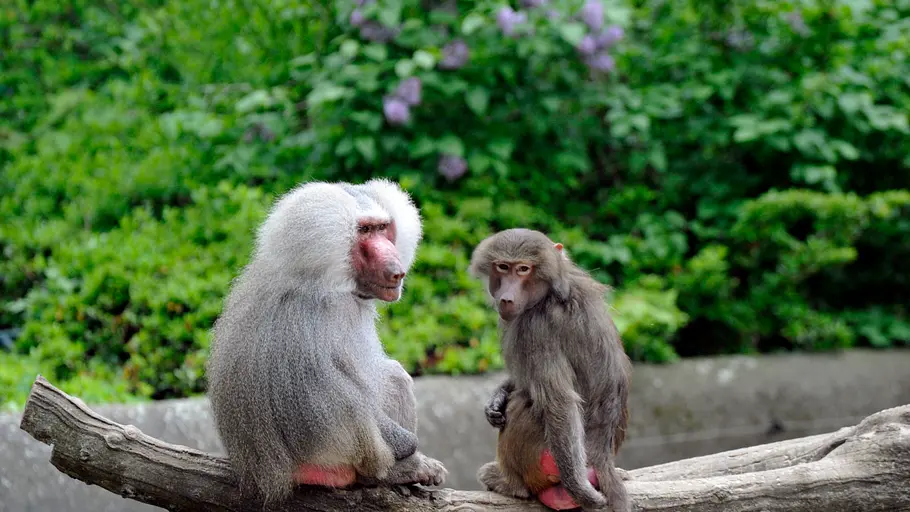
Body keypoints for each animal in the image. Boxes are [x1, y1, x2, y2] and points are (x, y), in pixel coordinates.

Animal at [205, 178, 447, 506]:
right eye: (364, 231)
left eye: (383, 227)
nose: (397, 271)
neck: (323, 278)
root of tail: (261, 475)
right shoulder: (319, 316)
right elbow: (339, 396)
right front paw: (410, 452)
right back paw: (393, 472)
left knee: (395, 378)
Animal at [469, 228, 632, 512]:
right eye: (503, 267)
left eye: (523, 269)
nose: (506, 298)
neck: (551, 292)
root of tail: (601, 457)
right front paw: (496, 399)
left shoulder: (537, 327)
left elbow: (560, 401)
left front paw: (580, 489)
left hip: (544, 459)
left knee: (525, 403)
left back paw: (509, 484)